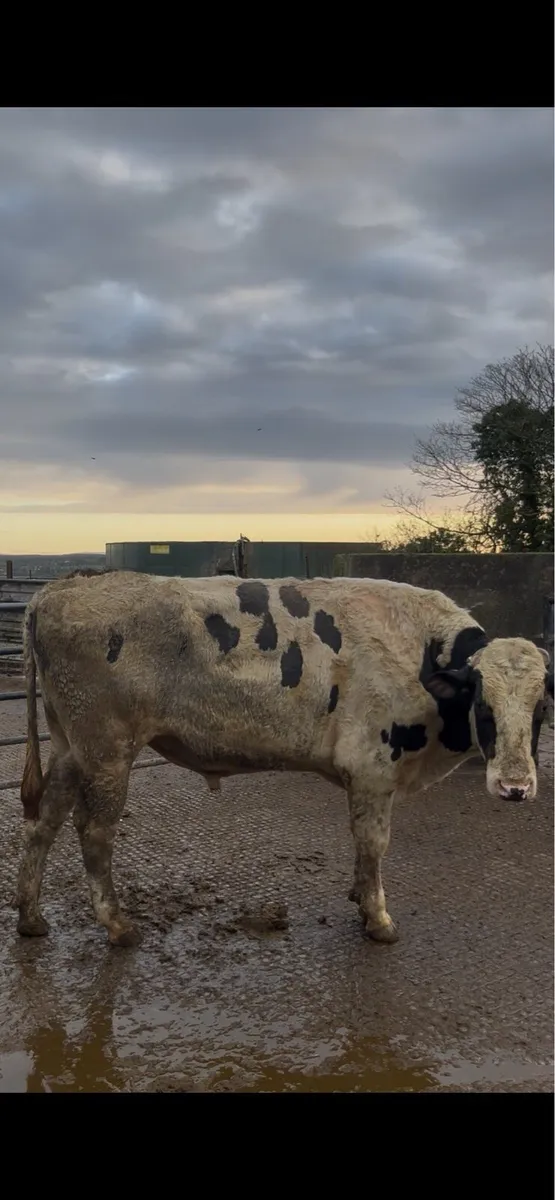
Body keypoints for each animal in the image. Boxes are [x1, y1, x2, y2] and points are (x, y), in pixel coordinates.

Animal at [17, 569, 553, 949]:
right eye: (483, 704)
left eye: (541, 707)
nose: (515, 787)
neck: (418, 654)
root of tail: (61, 588)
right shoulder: (373, 770)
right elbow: (374, 843)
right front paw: (378, 918)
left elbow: (362, 846)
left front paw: (360, 898)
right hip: (107, 751)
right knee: (94, 832)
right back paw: (117, 926)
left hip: (70, 748)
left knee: (45, 822)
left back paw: (31, 918)